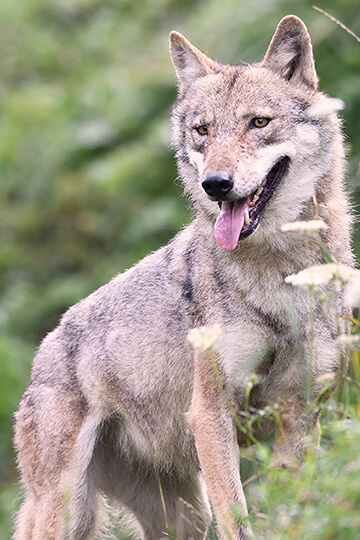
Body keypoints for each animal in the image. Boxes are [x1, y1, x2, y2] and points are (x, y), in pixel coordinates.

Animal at [14, 14, 352, 536]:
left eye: (258, 122)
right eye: (202, 130)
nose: (216, 184)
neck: (281, 272)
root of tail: (42, 354)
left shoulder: (298, 415)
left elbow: (295, 509)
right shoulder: (210, 415)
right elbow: (239, 518)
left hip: (184, 515)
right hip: (70, 512)